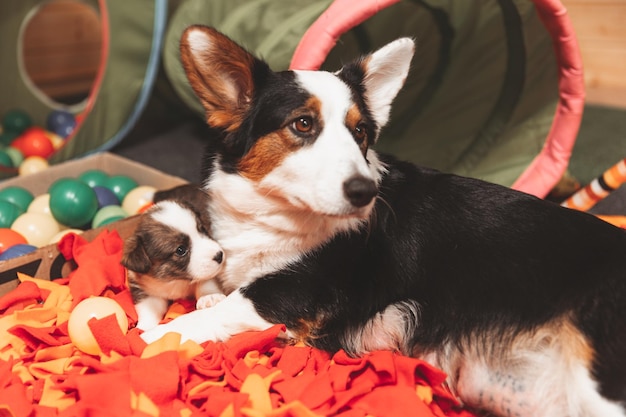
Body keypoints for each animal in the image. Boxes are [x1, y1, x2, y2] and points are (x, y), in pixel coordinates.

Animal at [120, 184, 223, 330]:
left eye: (202, 230)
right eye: (181, 250)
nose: (220, 255)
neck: (174, 280)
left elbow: (205, 282)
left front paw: (210, 297)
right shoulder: (145, 290)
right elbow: (149, 310)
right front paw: (144, 328)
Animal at [141, 26, 624, 416]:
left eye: (360, 132)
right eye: (302, 124)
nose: (364, 193)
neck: (275, 215)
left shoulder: (287, 295)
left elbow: (219, 311)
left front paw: (151, 340)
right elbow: (213, 293)